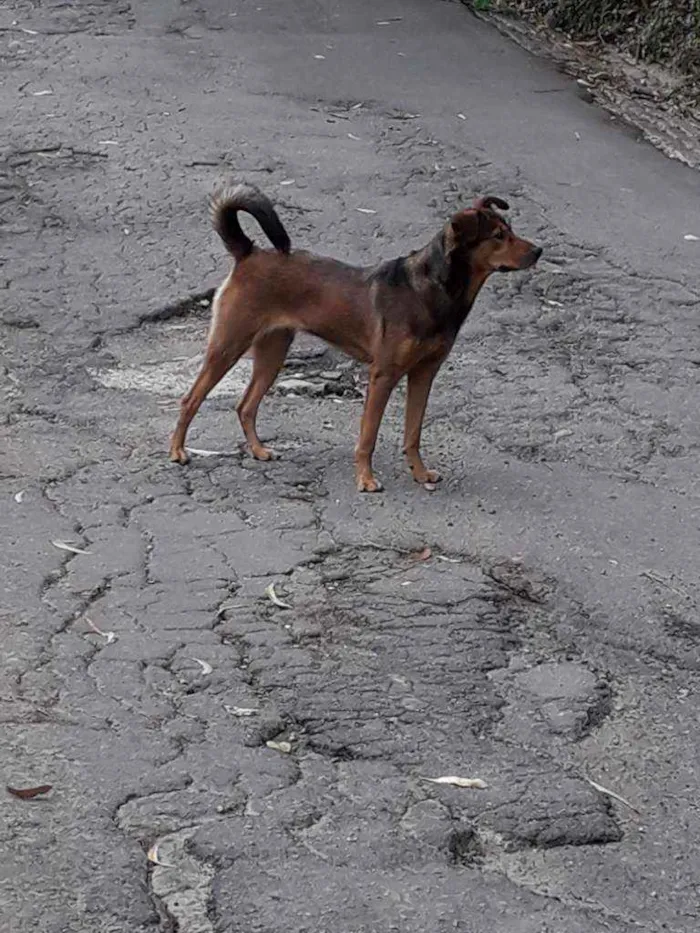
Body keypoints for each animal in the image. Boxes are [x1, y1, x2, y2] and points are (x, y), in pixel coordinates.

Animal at [170, 180, 540, 488]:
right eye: (498, 236)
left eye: (511, 230)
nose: (539, 251)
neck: (434, 287)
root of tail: (248, 252)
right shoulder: (383, 376)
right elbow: (368, 436)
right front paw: (366, 479)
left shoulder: (424, 373)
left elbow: (413, 432)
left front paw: (420, 474)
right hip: (229, 344)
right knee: (191, 399)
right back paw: (177, 451)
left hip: (273, 352)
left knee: (245, 405)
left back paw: (259, 450)